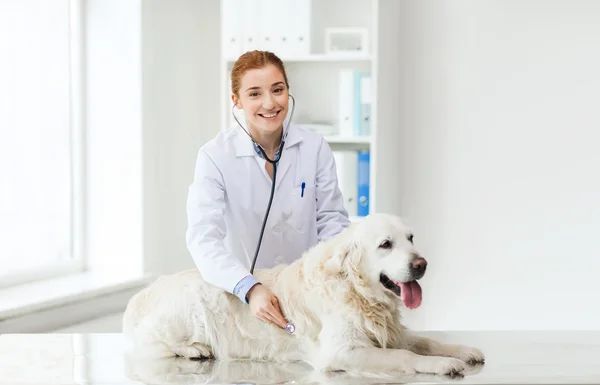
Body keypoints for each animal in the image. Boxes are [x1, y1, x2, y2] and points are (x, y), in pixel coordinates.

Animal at [122, 212, 482, 376]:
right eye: (385, 244)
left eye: (411, 238)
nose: (421, 264)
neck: (358, 292)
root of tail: (143, 293)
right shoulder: (341, 352)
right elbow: (405, 356)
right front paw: (443, 364)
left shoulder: (392, 331)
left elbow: (425, 341)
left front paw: (461, 350)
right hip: (190, 304)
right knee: (152, 344)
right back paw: (195, 349)